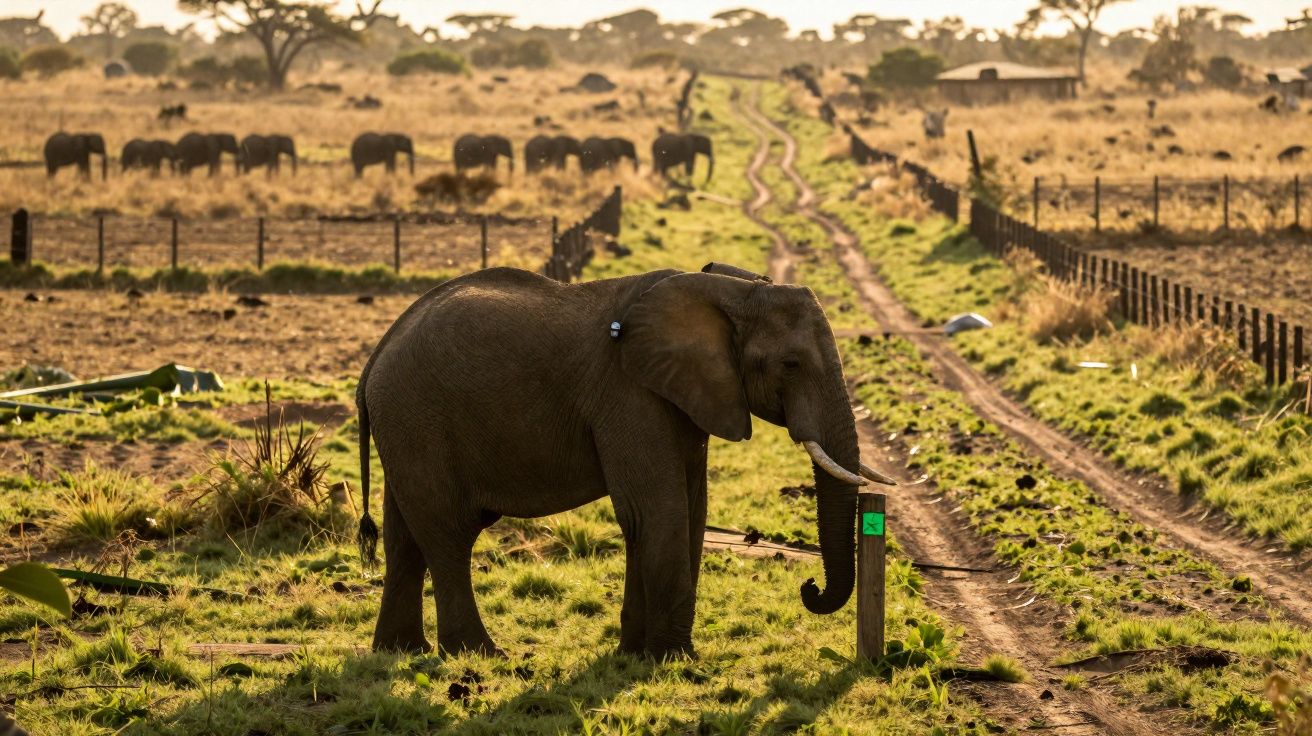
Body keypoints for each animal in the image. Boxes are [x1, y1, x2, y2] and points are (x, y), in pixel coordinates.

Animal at [355, 263, 895, 659]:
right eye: (791, 364)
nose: (809, 586)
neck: (729, 289)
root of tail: (376, 354)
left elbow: (684, 512)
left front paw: (635, 657)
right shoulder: (628, 394)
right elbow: (659, 511)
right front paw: (675, 661)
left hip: (405, 429)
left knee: (405, 537)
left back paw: (400, 651)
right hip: (418, 420)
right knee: (448, 535)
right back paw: (480, 655)